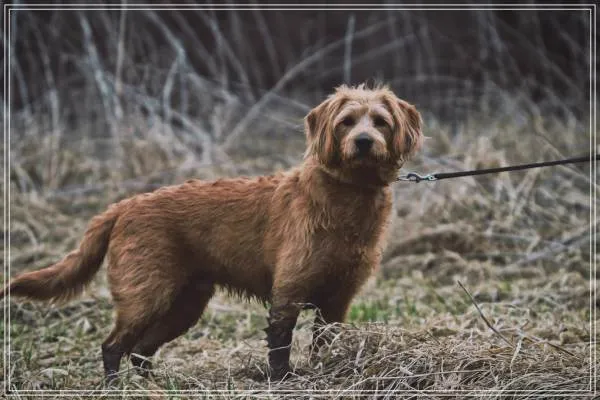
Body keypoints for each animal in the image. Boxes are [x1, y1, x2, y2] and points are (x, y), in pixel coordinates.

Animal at [1, 83, 423, 382]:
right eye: (347, 122)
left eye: (380, 121)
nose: (364, 142)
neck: (346, 196)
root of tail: (124, 206)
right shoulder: (288, 292)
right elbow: (280, 344)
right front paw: (283, 380)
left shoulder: (337, 301)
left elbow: (325, 344)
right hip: (147, 297)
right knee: (113, 346)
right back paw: (114, 387)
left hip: (184, 305)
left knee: (140, 350)